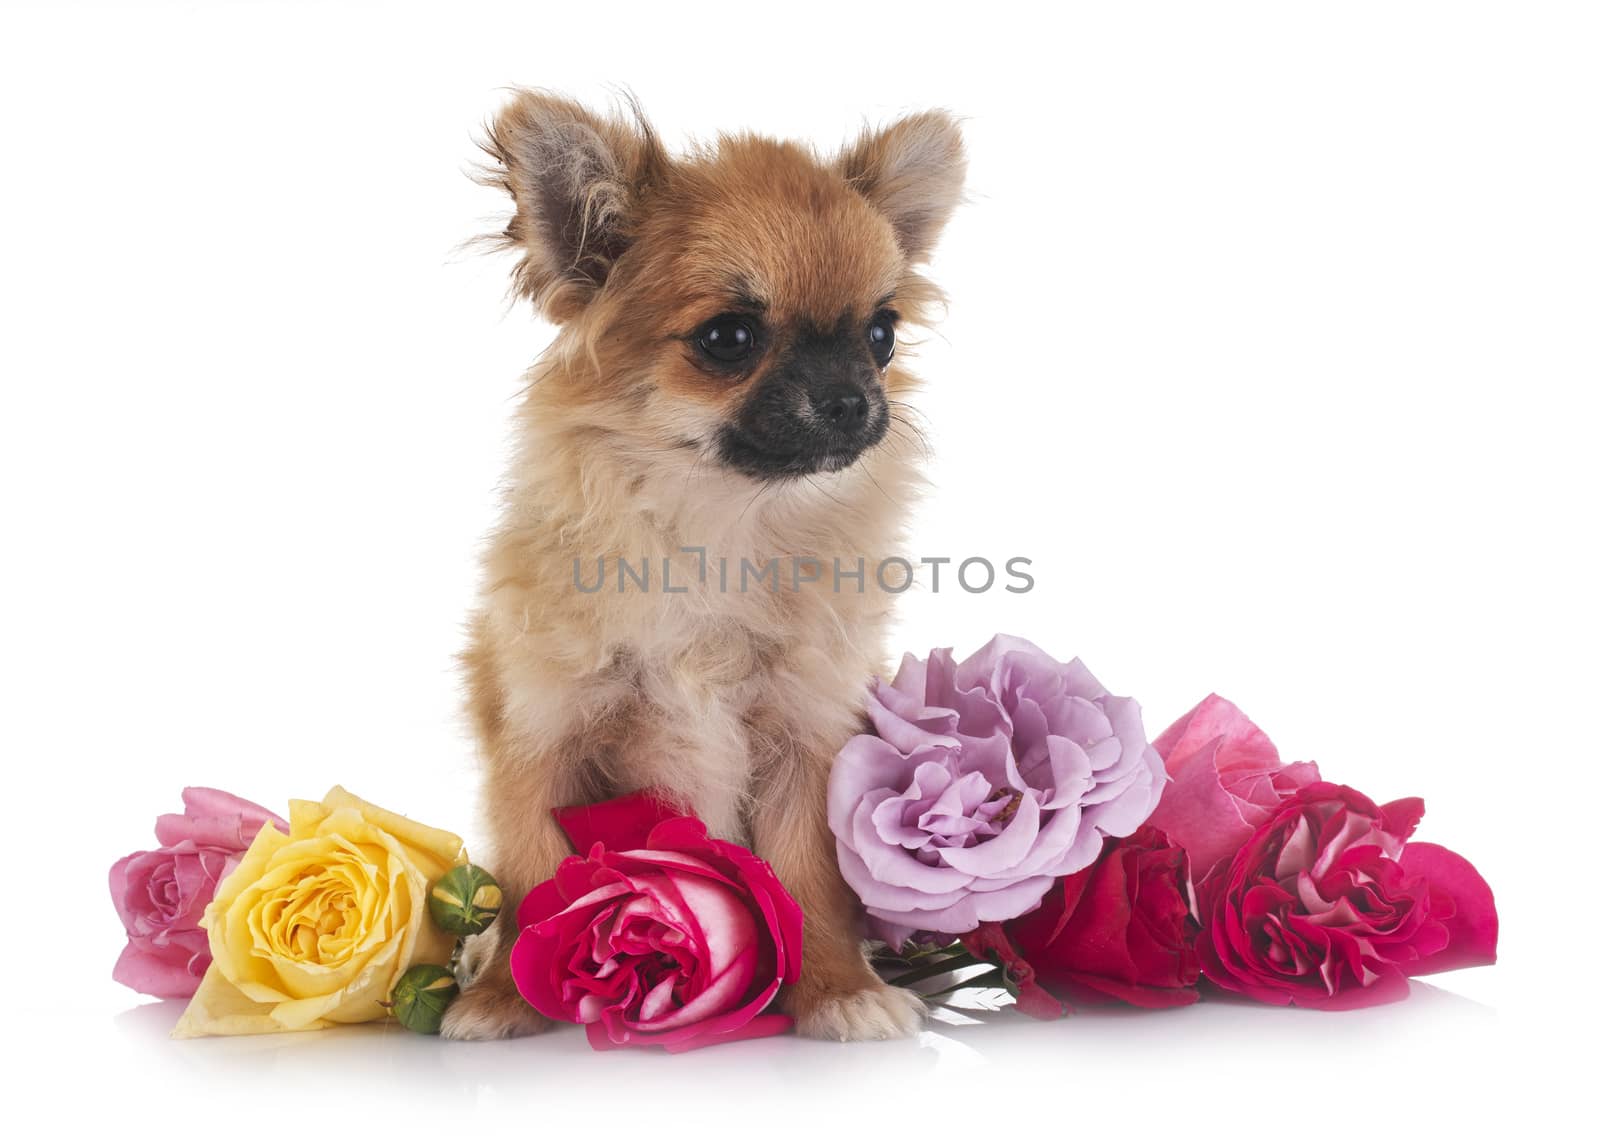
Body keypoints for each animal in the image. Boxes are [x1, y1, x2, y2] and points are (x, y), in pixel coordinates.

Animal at [438, 93, 960, 1036]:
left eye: (881, 333)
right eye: (729, 337)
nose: (854, 398)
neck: (722, 526)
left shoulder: (805, 737)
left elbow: (808, 880)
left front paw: (840, 988)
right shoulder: (543, 735)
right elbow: (534, 877)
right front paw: (502, 996)